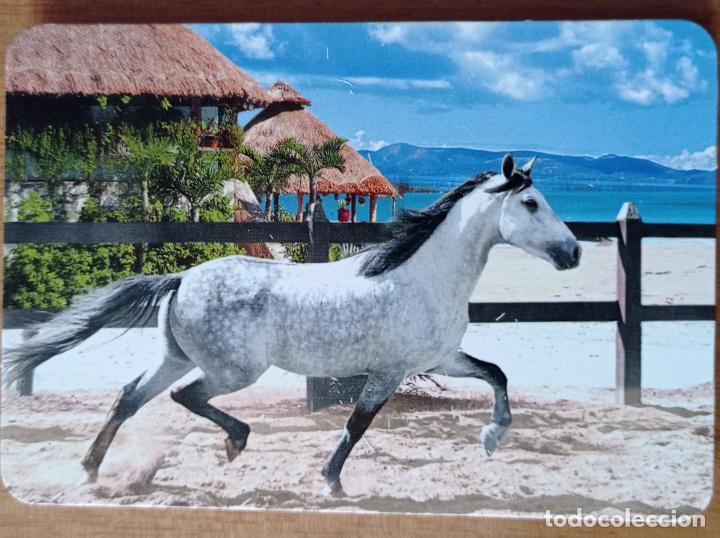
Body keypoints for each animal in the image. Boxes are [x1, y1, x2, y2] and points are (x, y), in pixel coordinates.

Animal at [3, 152, 581, 495]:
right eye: (532, 202)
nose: (573, 252)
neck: (421, 276)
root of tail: (183, 278)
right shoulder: (390, 371)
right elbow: (357, 425)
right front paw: (331, 483)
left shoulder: (440, 359)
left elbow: (497, 374)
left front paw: (492, 437)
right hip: (233, 371)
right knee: (184, 397)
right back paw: (234, 442)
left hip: (177, 357)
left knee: (130, 396)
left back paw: (92, 469)